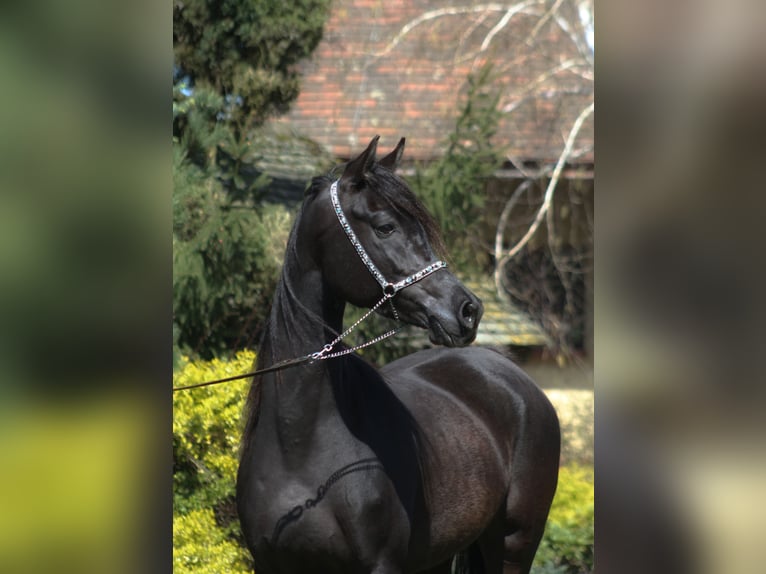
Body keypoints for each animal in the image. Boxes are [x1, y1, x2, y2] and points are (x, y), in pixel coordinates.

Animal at [236, 136, 560, 574]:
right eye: (386, 226)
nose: (468, 310)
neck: (299, 445)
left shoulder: (382, 564)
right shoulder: (269, 563)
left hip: (514, 543)